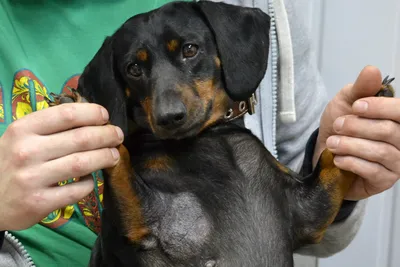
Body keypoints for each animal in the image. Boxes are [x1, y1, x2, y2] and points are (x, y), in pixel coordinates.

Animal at [49, 0, 394, 267]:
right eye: (133, 68)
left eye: (189, 49)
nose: (169, 117)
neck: (212, 138)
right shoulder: (137, 225)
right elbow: (117, 160)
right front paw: (88, 115)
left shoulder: (311, 209)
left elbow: (330, 161)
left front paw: (361, 108)